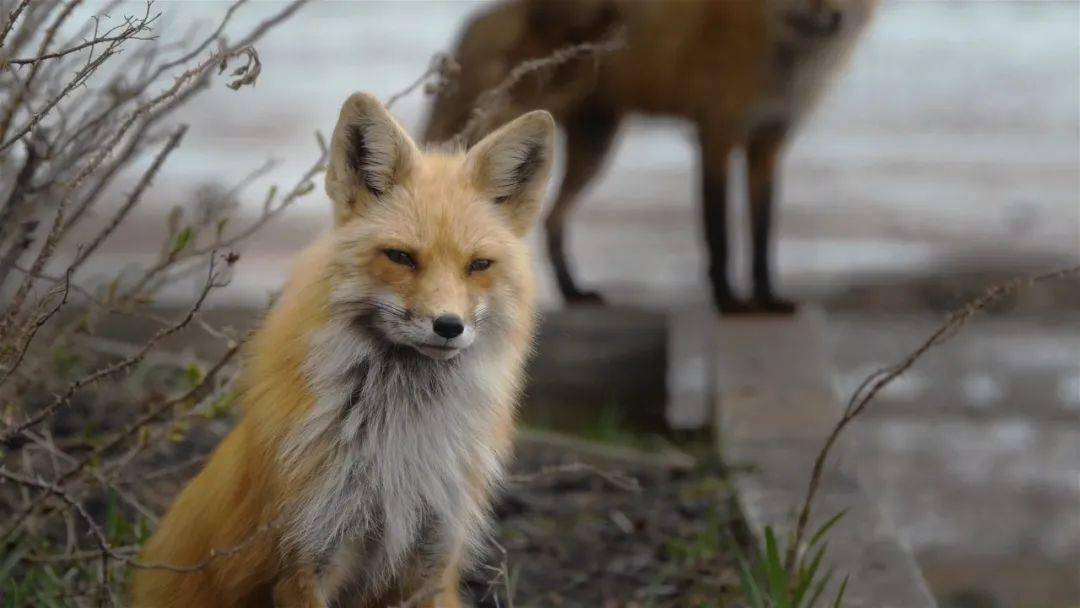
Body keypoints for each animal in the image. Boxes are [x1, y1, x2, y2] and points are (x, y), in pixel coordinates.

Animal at [132, 92, 557, 604]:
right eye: (401, 257)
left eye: (478, 265)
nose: (448, 326)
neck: (400, 441)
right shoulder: (306, 558)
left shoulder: (433, 561)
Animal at [421, 0, 876, 313]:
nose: (834, 17)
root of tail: (480, 19)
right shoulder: (717, 135)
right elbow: (718, 233)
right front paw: (728, 301)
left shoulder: (768, 144)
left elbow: (763, 234)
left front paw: (767, 300)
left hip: (593, 149)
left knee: (553, 219)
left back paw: (573, 292)